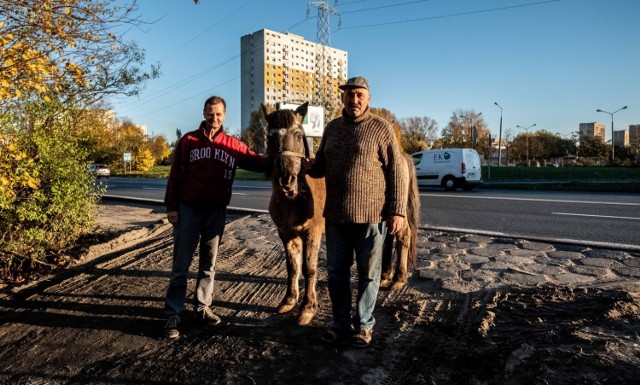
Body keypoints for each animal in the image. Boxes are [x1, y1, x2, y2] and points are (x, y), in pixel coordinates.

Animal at [260, 102, 324, 324]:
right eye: (270, 137)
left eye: (297, 135)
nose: (286, 180)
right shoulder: (286, 233)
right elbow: (292, 266)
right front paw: (289, 299)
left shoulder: (312, 232)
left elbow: (308, 267)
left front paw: (308, 307)